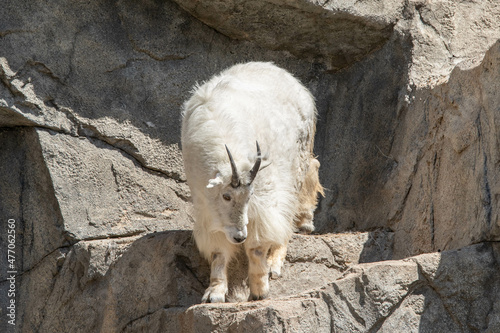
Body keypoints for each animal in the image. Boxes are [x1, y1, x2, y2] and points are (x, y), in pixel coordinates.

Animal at [182, 61, 322, 302]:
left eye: (250, 196)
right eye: (226, 196)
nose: (239, 236)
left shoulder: (263, 192)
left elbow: (258, 243)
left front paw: (259, 289)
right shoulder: (207, 205)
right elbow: (218, 250)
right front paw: (214, 292)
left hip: (297, 158)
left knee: (294, 198)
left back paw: (278, 258)